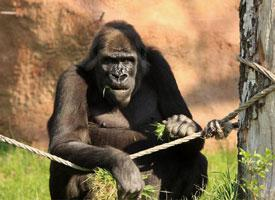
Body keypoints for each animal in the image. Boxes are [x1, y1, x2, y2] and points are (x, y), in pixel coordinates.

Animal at [48, 19, 208, 198]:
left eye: (127, 61)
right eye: (110, 61)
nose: (119, 75)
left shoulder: (160, 65)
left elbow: (183, 125)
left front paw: (184, 127)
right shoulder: (71, 78)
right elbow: (67, 141)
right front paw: (122, 163)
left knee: (194, 159)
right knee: (68, 165)